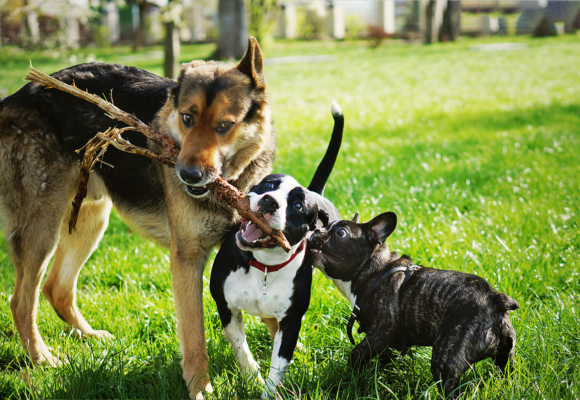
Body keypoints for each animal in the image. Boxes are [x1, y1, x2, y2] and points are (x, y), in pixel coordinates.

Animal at [0, 37, 276, 396]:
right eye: (187, 118)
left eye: (224, 126)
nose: (187, 175)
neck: (232, 184)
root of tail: (13, 98)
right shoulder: (186, 259)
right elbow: (194, 334)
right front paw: (200, 387)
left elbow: (272, 316)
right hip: (42, 228)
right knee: (21, 302)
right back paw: (42, 358)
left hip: (91, 218)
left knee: (56, 288)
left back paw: (89, 337)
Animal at [210, 101, 342, 396]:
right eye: (269, 184)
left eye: (298, 205)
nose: (270, 201)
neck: (264, 266)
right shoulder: (227, 308)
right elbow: (241, 349)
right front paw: (251, 379)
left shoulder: (291, 321)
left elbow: (278, 364)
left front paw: (267, 390)